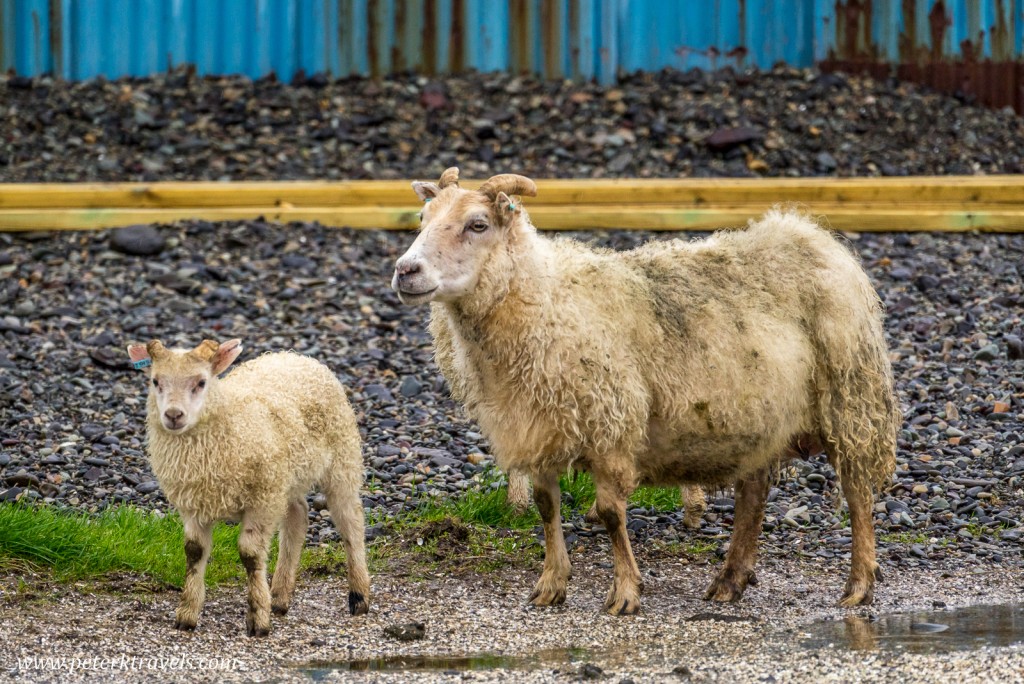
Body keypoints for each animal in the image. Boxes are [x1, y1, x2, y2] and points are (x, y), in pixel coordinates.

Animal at [125, 339, 370, 634]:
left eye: (201, 382)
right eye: (155, 381)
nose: (173, 415)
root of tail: (294, 356)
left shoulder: (262, 501)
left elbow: (250, 554)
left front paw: (258, 619)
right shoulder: (194, 505)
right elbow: (194, 552)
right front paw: (187, 614)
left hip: (342, 458)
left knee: (350, 521)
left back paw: (359, 596)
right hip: (285, 478)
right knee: (297, 516)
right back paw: (280, 596)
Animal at [391, 166, 897, 614]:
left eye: (478, 224)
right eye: (423, 217)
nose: (406, 270)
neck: (545, 299)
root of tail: (807, 232)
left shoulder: (611, 424)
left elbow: (612, 513)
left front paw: (624, 594)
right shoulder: (539, 425)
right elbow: (546, 507)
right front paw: (551, 585)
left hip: (850, 397)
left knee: (857, 492)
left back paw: (859, 584)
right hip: (762, 416)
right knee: (753, 495)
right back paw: (730, 581)